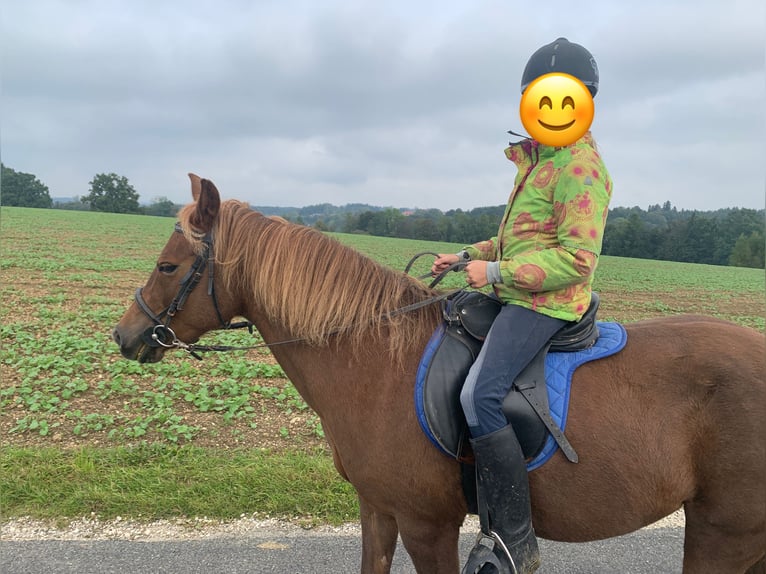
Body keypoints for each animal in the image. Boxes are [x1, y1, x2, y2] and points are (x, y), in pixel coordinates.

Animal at [114, 177, 766, 574]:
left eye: (167, 265)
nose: (125, 336)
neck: (376, 359)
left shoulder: (428, 525)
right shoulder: (377, 510)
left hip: (723, 535)